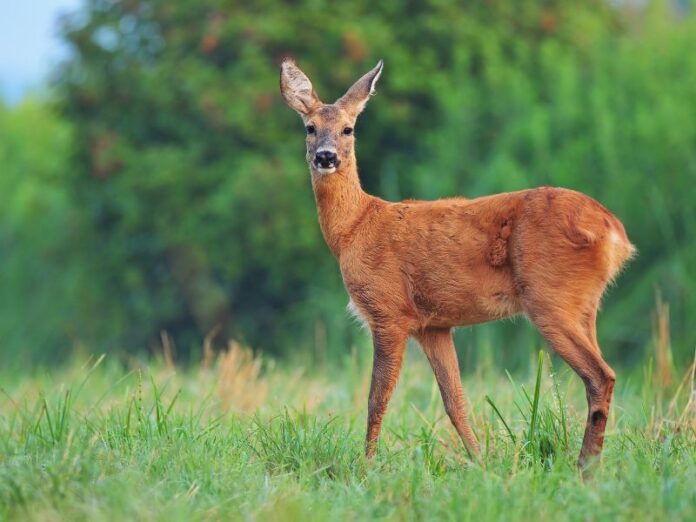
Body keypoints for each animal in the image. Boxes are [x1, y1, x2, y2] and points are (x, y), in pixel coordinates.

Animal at [278, 55, 636, 468]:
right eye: (310, 127)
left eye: (348, 128)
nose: (326, 156)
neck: (355, 227)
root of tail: (614, 232)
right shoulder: (433, 325)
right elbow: (455, 401)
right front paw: (481, 463)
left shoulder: (389, 311)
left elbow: (376, 399)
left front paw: (365, 466)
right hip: (585, 304)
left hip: (549, 296)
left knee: (601, 375)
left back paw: (585, 467)